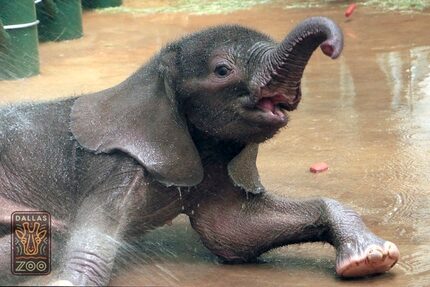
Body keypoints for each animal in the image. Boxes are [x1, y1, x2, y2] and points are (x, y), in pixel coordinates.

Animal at [0, 17, 400, 286]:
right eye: (222, 70)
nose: (332, 46)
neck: (155, 69)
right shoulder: (115, 166)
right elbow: (96, 228)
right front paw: (67, 281)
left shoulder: (213, 166)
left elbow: (234, 233)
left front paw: (372, 260)